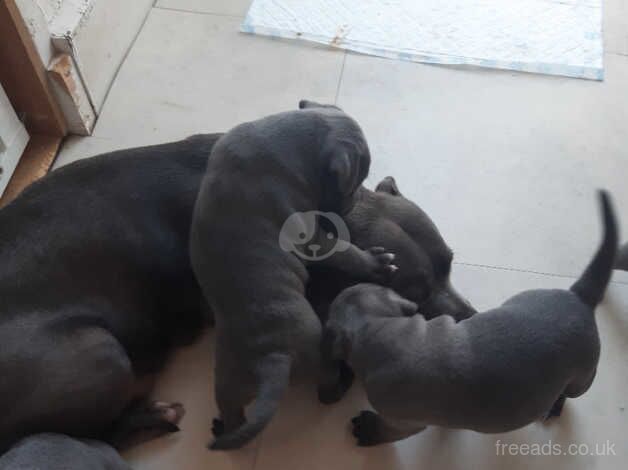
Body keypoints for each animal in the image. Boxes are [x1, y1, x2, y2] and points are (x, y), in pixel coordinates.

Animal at [191, 101, 398, 450]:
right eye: (355, 182)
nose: (356, 200)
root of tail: (271, 359)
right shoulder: (312, 236)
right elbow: (344, 250)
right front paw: (374, 262)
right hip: (318, 358)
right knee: (325, 392)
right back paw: (341, 385)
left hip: (228, 382)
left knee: (233, 412)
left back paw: (224, 429)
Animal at [324, 191, 620, 444]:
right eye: (415, 293)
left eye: (450, 264)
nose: (471, 316)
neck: (385, 332)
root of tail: (579, 296)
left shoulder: (404, 420)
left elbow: (391, 430)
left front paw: (369, 431)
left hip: (582, 377)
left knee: (570, 391)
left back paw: (555, 403)